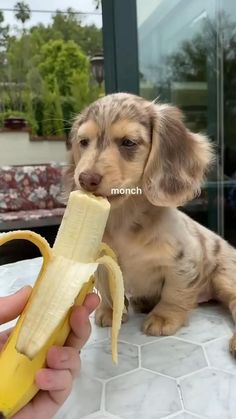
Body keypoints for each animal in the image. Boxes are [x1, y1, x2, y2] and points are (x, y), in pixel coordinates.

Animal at [63, 93, 236, 356]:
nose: (85, 179)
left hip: (225, 276)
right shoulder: (103, 263)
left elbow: (174, 293)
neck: (124, 221)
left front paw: (164, 317)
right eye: (83, 141)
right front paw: (110, 310)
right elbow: (107, 288)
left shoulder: (185, 262)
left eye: (128, 142)